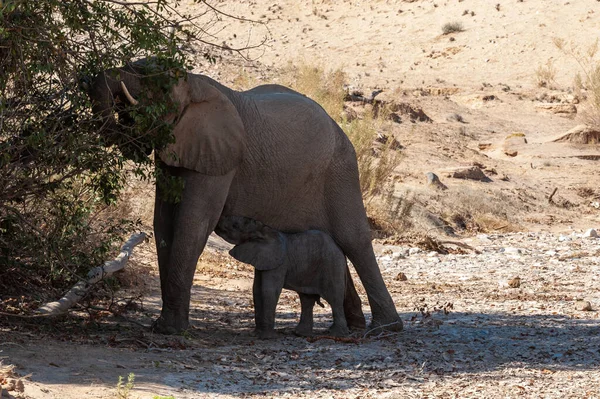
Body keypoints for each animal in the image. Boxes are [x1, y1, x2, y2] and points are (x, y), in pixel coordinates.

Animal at [216, 217, 350, 340]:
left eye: (235, 225)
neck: (264, 230)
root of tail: (340, 251)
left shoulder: (279, 262)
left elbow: (269, 290)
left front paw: (266, 338)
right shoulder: (263, 259)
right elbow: (257, 290)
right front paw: (256, 334)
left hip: (332, 265)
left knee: (334, 299)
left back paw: (337, 334)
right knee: (306, 299)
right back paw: (300, 334)